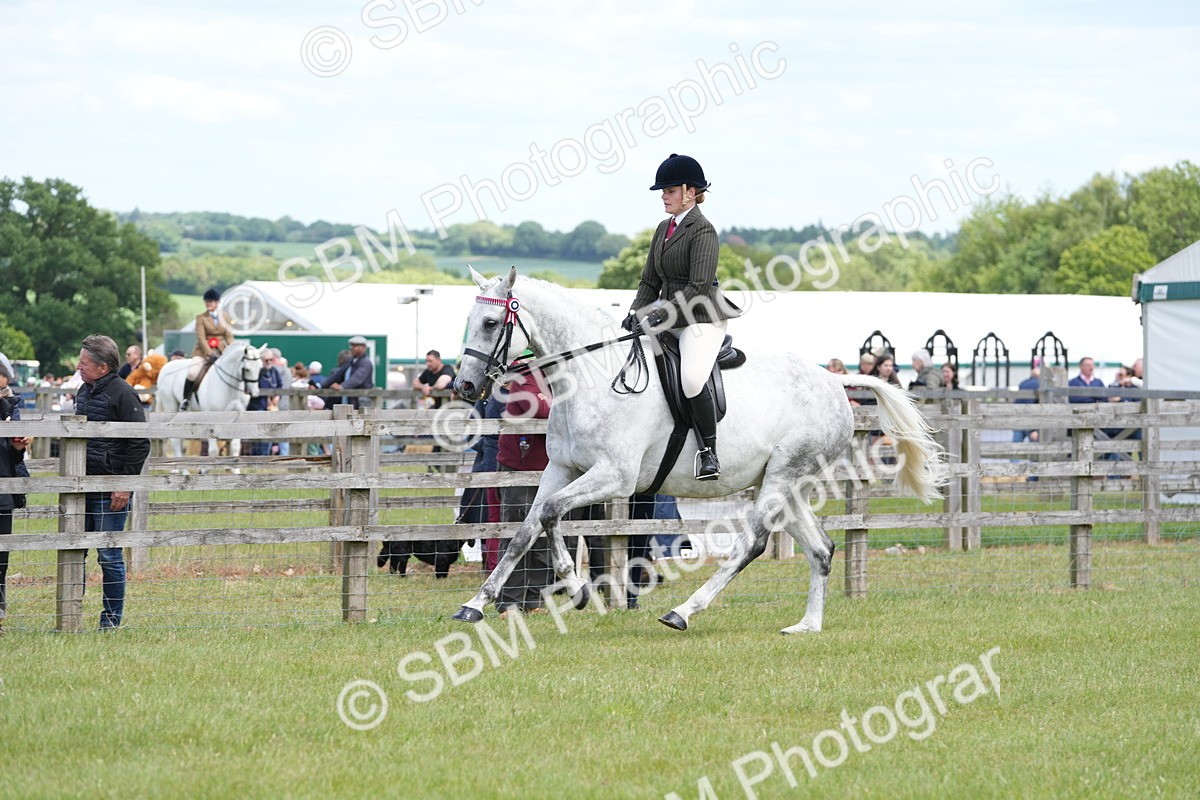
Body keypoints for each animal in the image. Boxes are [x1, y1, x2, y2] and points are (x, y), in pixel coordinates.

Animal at [450, 267, 945, 634]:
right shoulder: (561, 468)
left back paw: (683, 611)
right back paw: (807, 626)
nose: (465, 386)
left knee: (751, 544)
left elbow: (552, 514)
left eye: (491, 323)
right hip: (788, 484)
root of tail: (834, 381)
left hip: (783, 476)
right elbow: (526, 529)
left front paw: (576, 589)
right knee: (821, 549)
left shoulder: (614, 476)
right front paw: (475, 604)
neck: (591, 374)